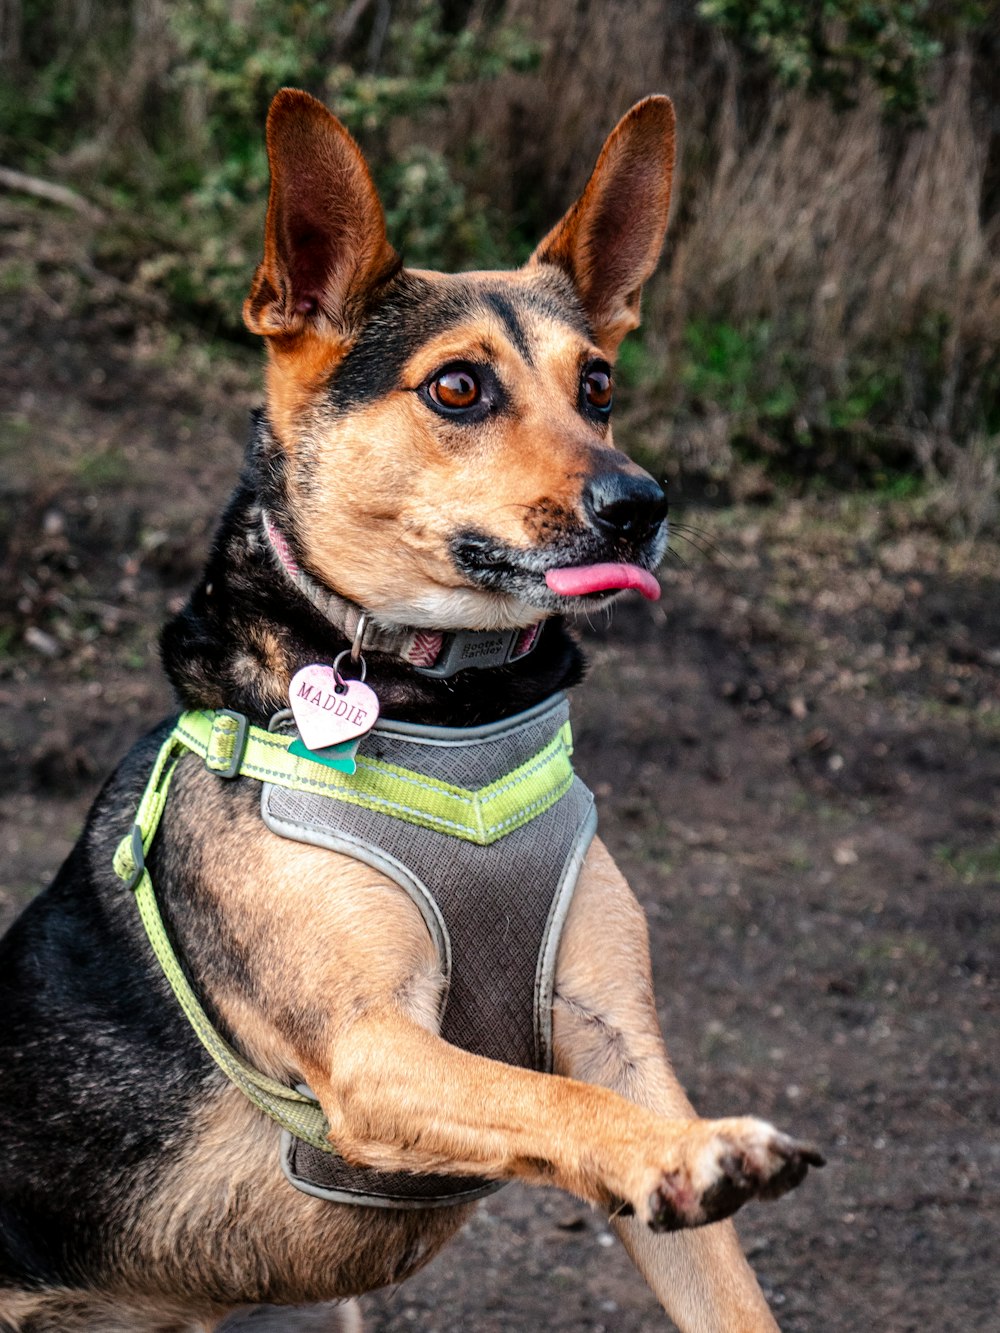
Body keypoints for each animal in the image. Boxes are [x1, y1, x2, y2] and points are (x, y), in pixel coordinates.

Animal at [0, 88, 821, 1327]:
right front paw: (685, 1153)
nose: (641, 504)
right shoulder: (371, 1051)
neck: (447, 707)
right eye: (457, 387)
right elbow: (547, 1102)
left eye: (598, 387)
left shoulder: (619, 1040)